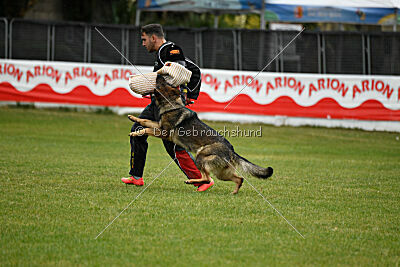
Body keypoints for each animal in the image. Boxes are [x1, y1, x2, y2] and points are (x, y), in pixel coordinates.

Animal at [130, 75, 274, 195]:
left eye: (164, 83)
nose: (159, 74)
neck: (172, 105)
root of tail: (231, 151)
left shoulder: (163, 133)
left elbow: (147, 129)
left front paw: (136, 132)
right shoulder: (158, 126)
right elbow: (145, 121)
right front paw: (133, 118)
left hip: (201, 157)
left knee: (207, 178)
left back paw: (191, 181)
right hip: (221, 173)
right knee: (238, 179)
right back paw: (233, 192)